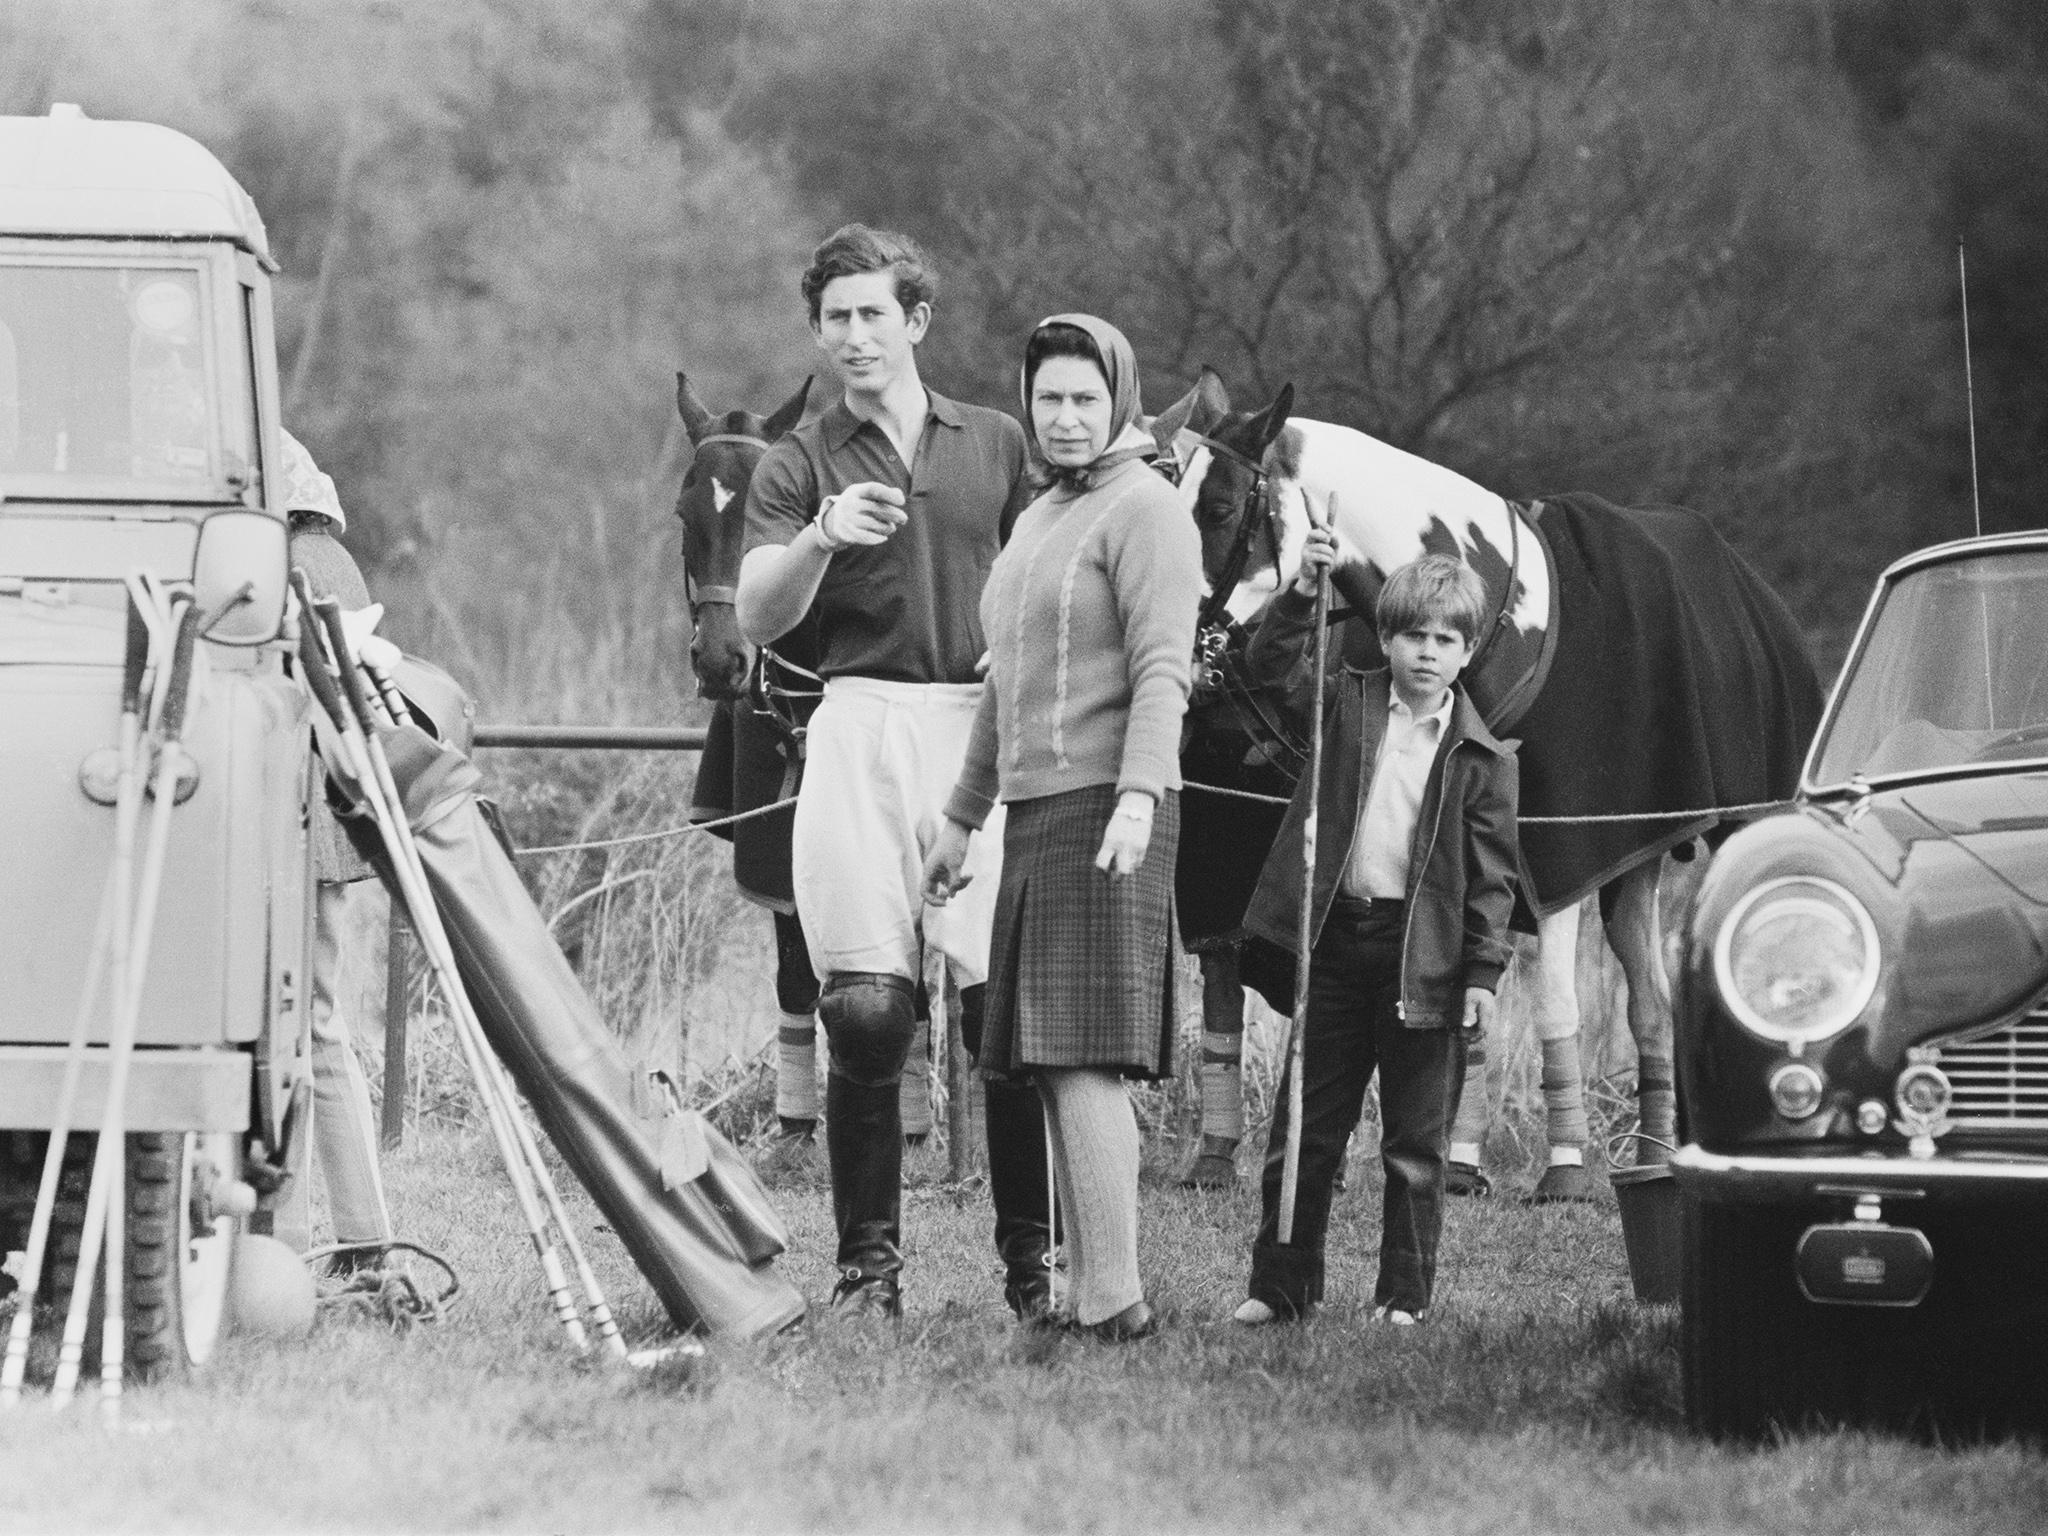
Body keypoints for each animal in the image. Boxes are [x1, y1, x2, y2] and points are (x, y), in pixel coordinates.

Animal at [1155, 372, 1826, 1204]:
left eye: (1217, 510)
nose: (1184, 662)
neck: (1491, 612)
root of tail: (1760, 597)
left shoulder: (1558, 850)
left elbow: (1552, 1002)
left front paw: (1565, 1170)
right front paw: (1458, 1164)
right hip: (1632, 865)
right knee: (1650, 1003)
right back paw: (1646, 1154)